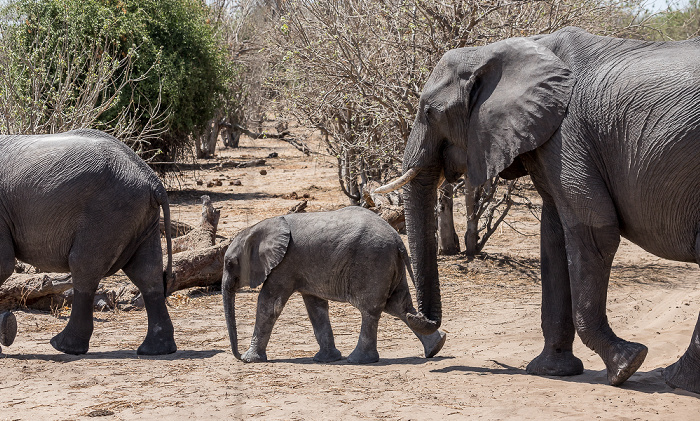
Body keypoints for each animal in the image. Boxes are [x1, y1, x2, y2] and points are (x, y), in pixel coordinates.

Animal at [0, 129, 178, 354]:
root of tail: (153, 182)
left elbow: (3, 265)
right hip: (140, 217)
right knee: (147, 272)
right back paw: (156, 350)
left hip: (108, 211)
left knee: (84, 267)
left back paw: (65, 346)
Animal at [221, 205, 446, 362]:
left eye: (229, 263)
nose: (237, 356)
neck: (258, 228)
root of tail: (398, 239)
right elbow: (316, 308)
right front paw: (326, 359)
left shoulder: (283, 265)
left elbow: (269, 305)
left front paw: (250, 360)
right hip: (389, 263)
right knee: (399, 306)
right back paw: (436, 346)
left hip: (373, 261)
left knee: (371, 309)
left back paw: (358, 360)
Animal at [378, 27, 700, 392]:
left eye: (430, 112)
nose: (435, 339)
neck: (498, 50)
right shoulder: (549, 139)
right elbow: (554, 236)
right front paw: (553, 371)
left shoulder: (568, 135)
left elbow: (594, 231)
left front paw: (626, 366)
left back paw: (676, 380)